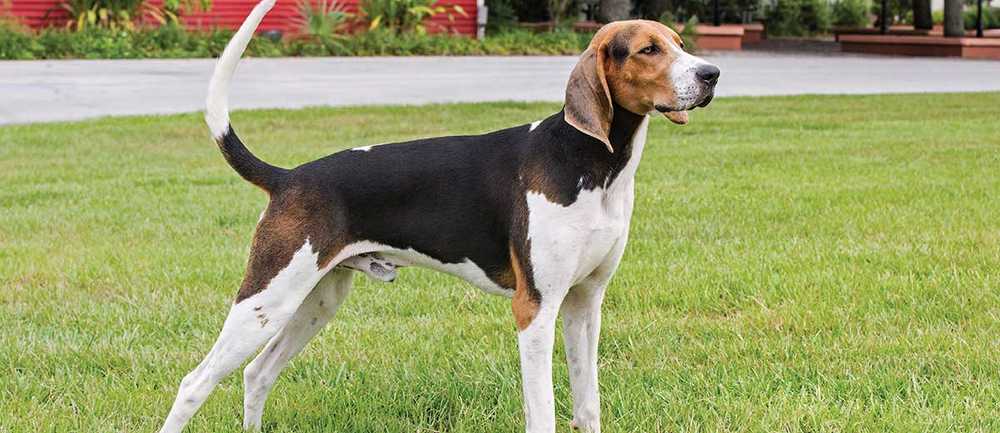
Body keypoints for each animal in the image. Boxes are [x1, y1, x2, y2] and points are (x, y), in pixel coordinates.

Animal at [158, 0, 720, 432]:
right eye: (649, 49)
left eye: (679, 41)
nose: (712, 74)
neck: (592, 164)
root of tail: (289, 177)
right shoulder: (535, 310)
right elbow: (543, 413)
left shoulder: (585, 304)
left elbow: (587, 407)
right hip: (266, 299)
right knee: (194, 383)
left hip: (314, 301)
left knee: (257, 374)